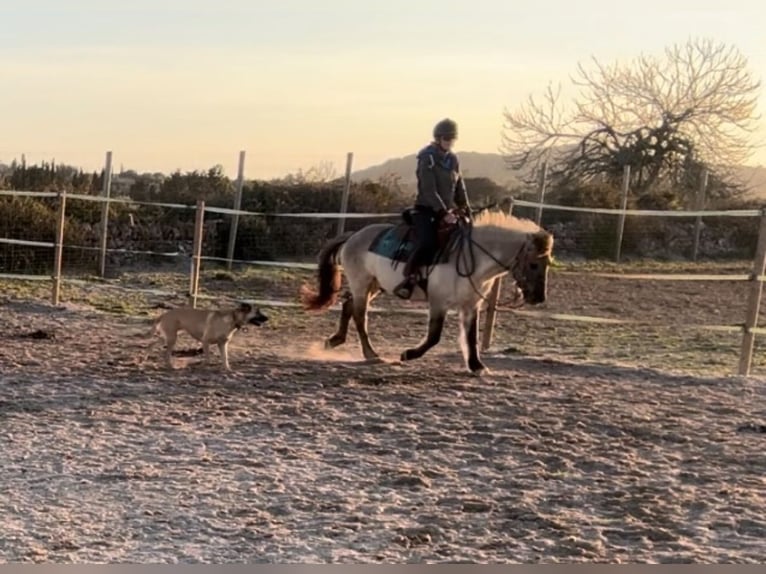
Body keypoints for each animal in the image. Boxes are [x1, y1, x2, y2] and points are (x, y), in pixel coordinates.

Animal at [296, 209, 556, 376]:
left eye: (548, 263)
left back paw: (334, 341)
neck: (472, 255)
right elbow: (434, 336)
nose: (538, 298)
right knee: (360, 316)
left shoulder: (470, 305)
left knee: (348, 305)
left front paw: (477, 366)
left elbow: (471, 336)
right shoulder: (438, 301)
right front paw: (408, 354)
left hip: (374, 285)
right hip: (361, 283)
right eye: (534, 264)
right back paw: (371, 354)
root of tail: (354, 236)